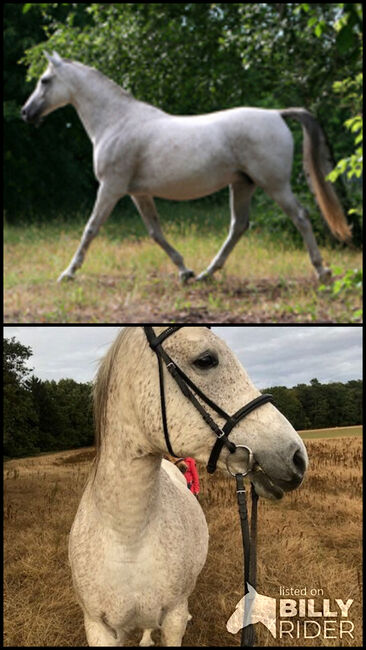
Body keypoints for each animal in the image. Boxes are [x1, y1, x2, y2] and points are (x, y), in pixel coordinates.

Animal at [20, 50, 352, 284]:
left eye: (45, 80)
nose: (26, 112)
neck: (116, 121)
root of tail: (276, 114)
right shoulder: (138, 193)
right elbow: (155, 231)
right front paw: (184, 271)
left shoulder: (111, 187)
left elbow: (91, 228)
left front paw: (68, 273)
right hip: (242, 184)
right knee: (238, 226)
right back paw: (207, 274)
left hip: (274, 184)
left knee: (300, 217)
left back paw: (322, 272)